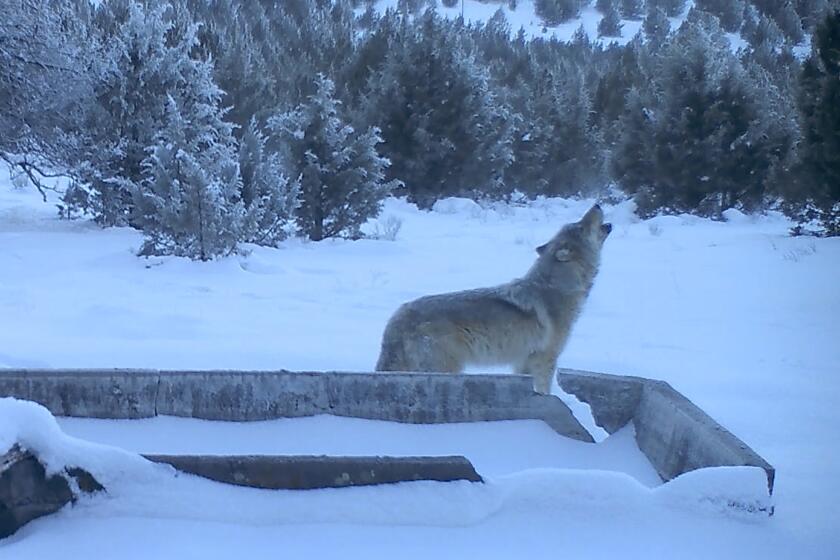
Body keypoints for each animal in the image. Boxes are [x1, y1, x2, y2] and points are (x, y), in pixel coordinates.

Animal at [375, 204, 611, 394]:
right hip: (446, 370)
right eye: (580, 226)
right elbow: (544, 390)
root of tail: (396, 319)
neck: (556, 287)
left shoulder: (522, 361)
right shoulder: (545, 359)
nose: (597, 204)